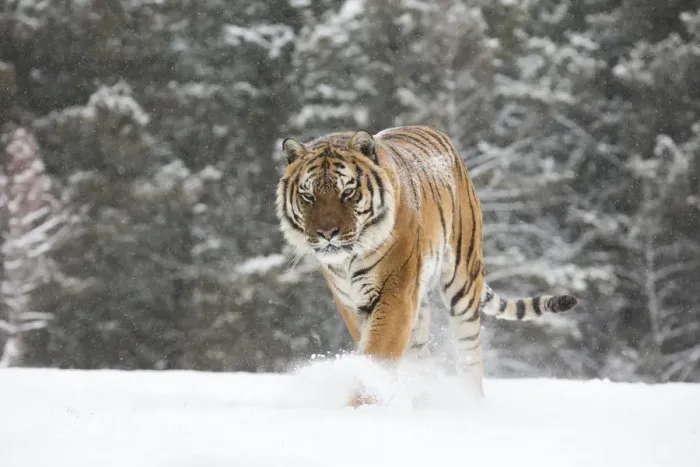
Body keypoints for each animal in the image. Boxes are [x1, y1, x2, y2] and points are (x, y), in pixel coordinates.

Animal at [275, 125, 579, 407]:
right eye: (308, 196)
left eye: (347, 192)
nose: (327, 233)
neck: (348, 258)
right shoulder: (351, 300)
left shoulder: (395, 292)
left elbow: (377, 351)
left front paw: (361, 406)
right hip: (419, 303)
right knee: (419, 354)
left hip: (462, 282)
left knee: (469, 352)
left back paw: (470, 403)